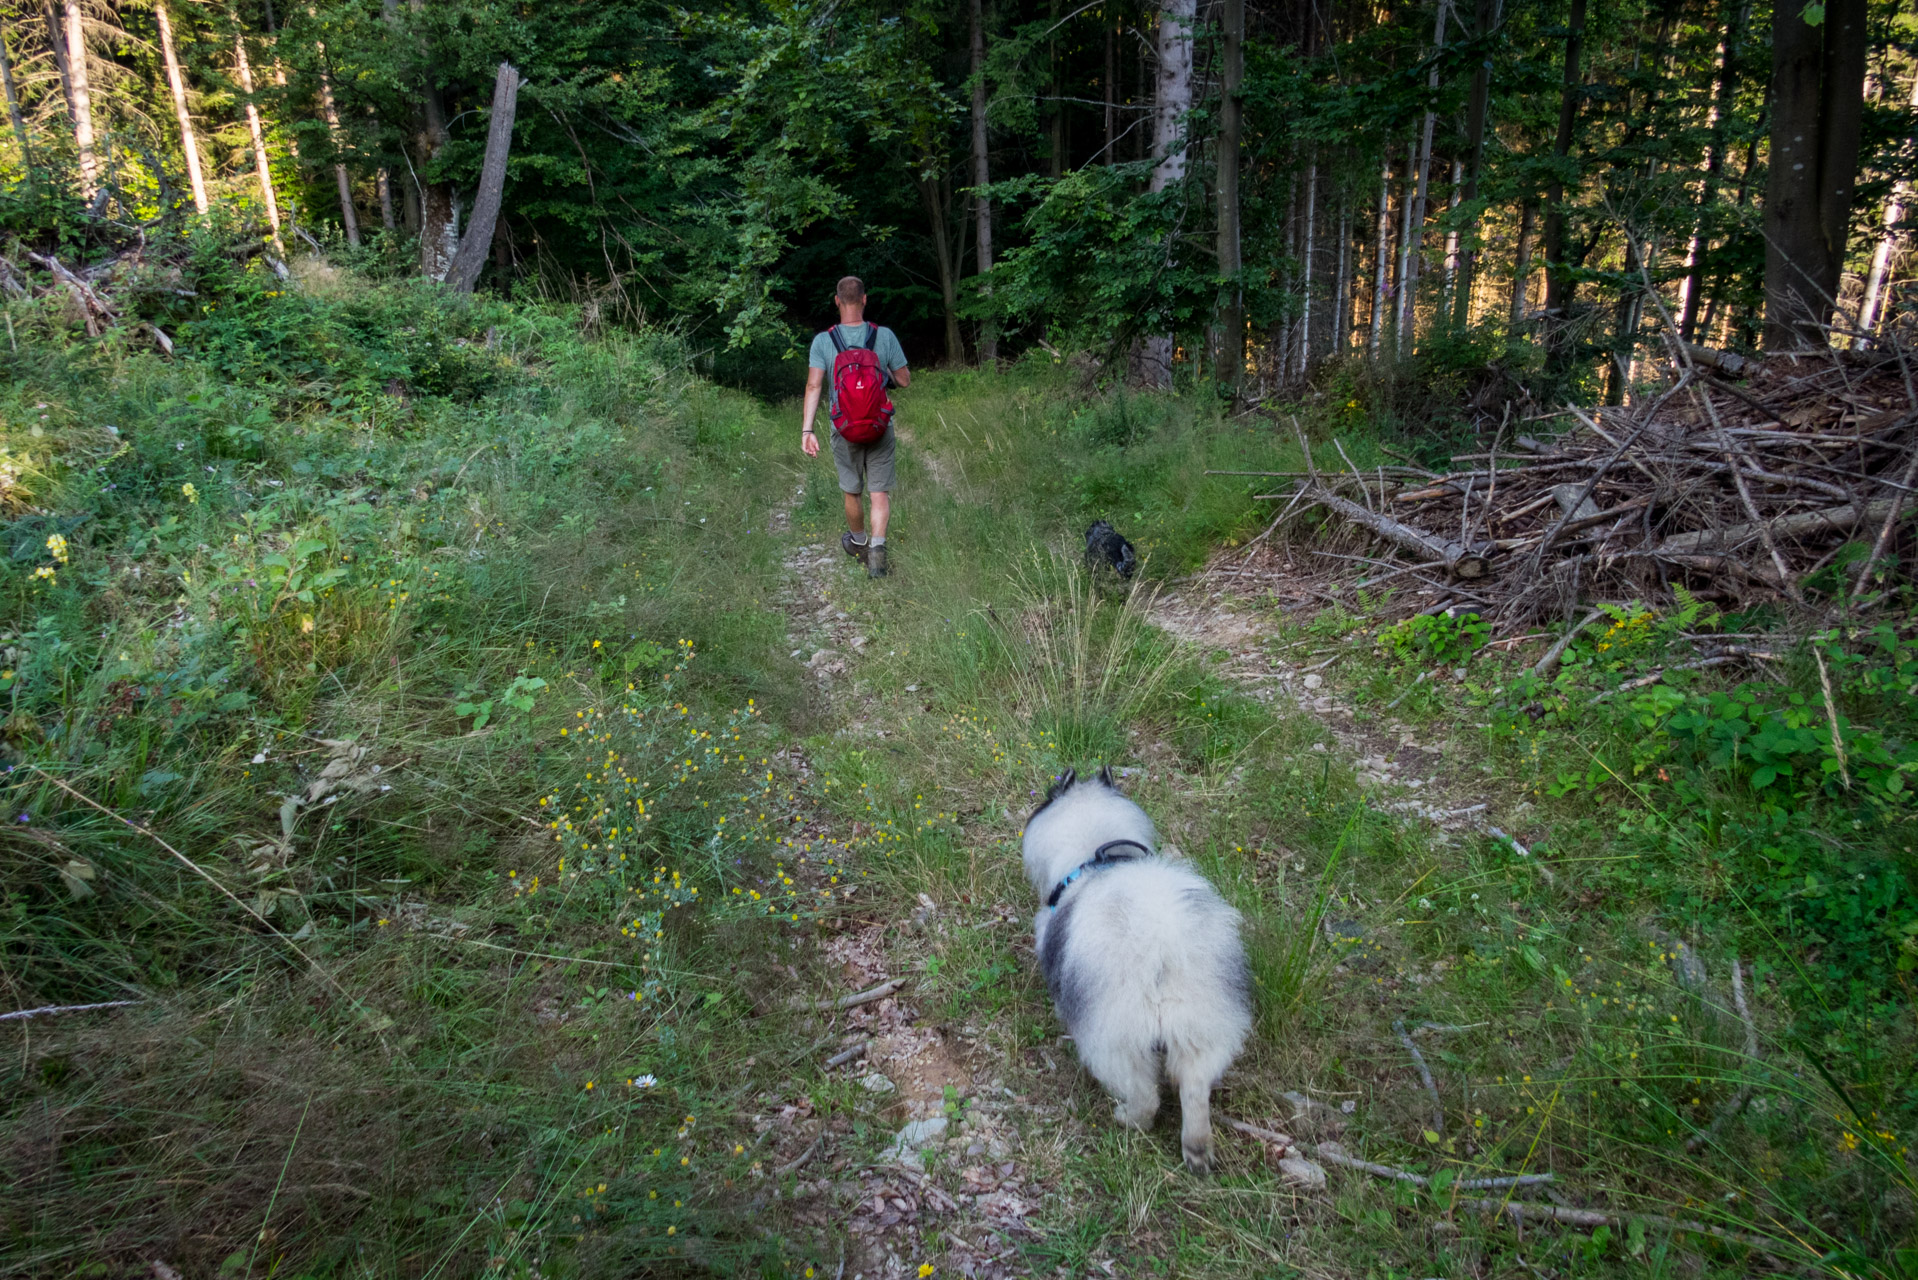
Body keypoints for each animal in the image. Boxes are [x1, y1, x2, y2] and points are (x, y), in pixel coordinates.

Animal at [1020, 771, 1258, 1174]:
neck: (1095, 852)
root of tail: (1161, 950)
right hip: (1202, 1028)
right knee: (1194, 1090)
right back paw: (1197, 1150)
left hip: (1116, 1040)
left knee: (1146, 1096)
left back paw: (1128, 1119)